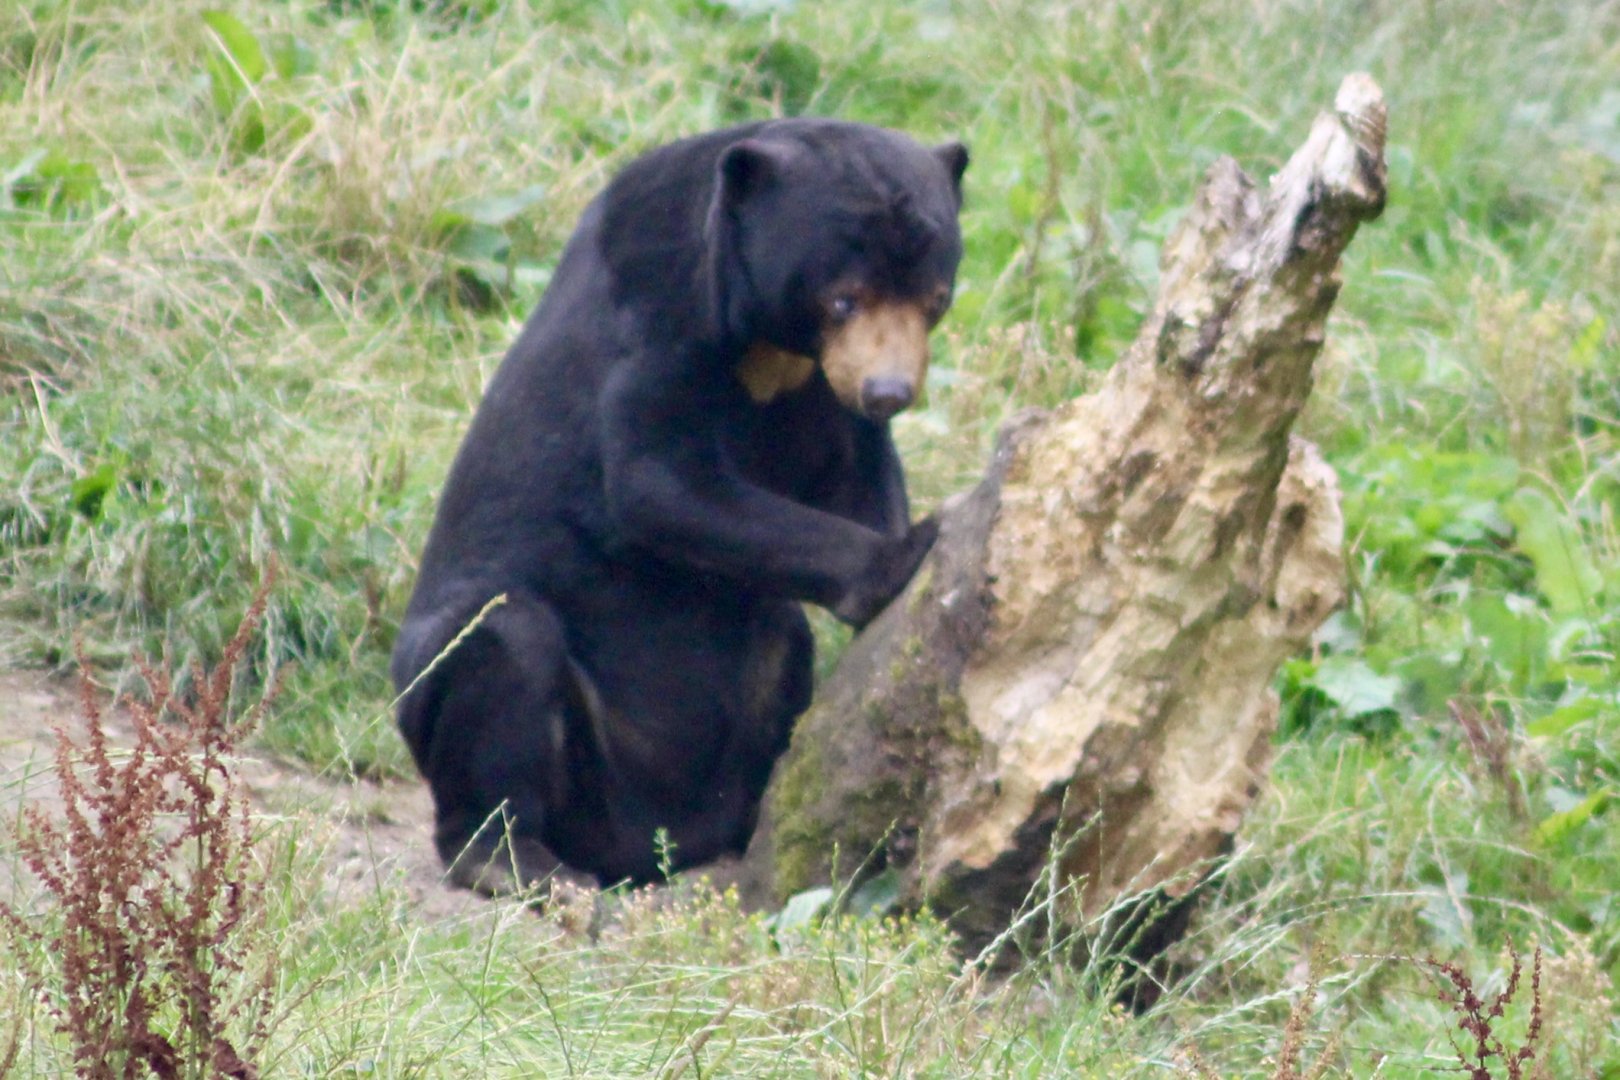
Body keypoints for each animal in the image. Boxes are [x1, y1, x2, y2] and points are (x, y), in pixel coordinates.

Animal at [390, 118, 968, 893]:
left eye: (934, 299)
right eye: (844, 298)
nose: (889, 391)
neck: (773, 348)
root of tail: (645, 846)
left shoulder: (819, 388)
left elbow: (855, 472)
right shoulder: (660, 309)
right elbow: (655, 484)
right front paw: (910, 552)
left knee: (782, 637)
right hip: (452, 693)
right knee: (502, 646)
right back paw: (521, 862)